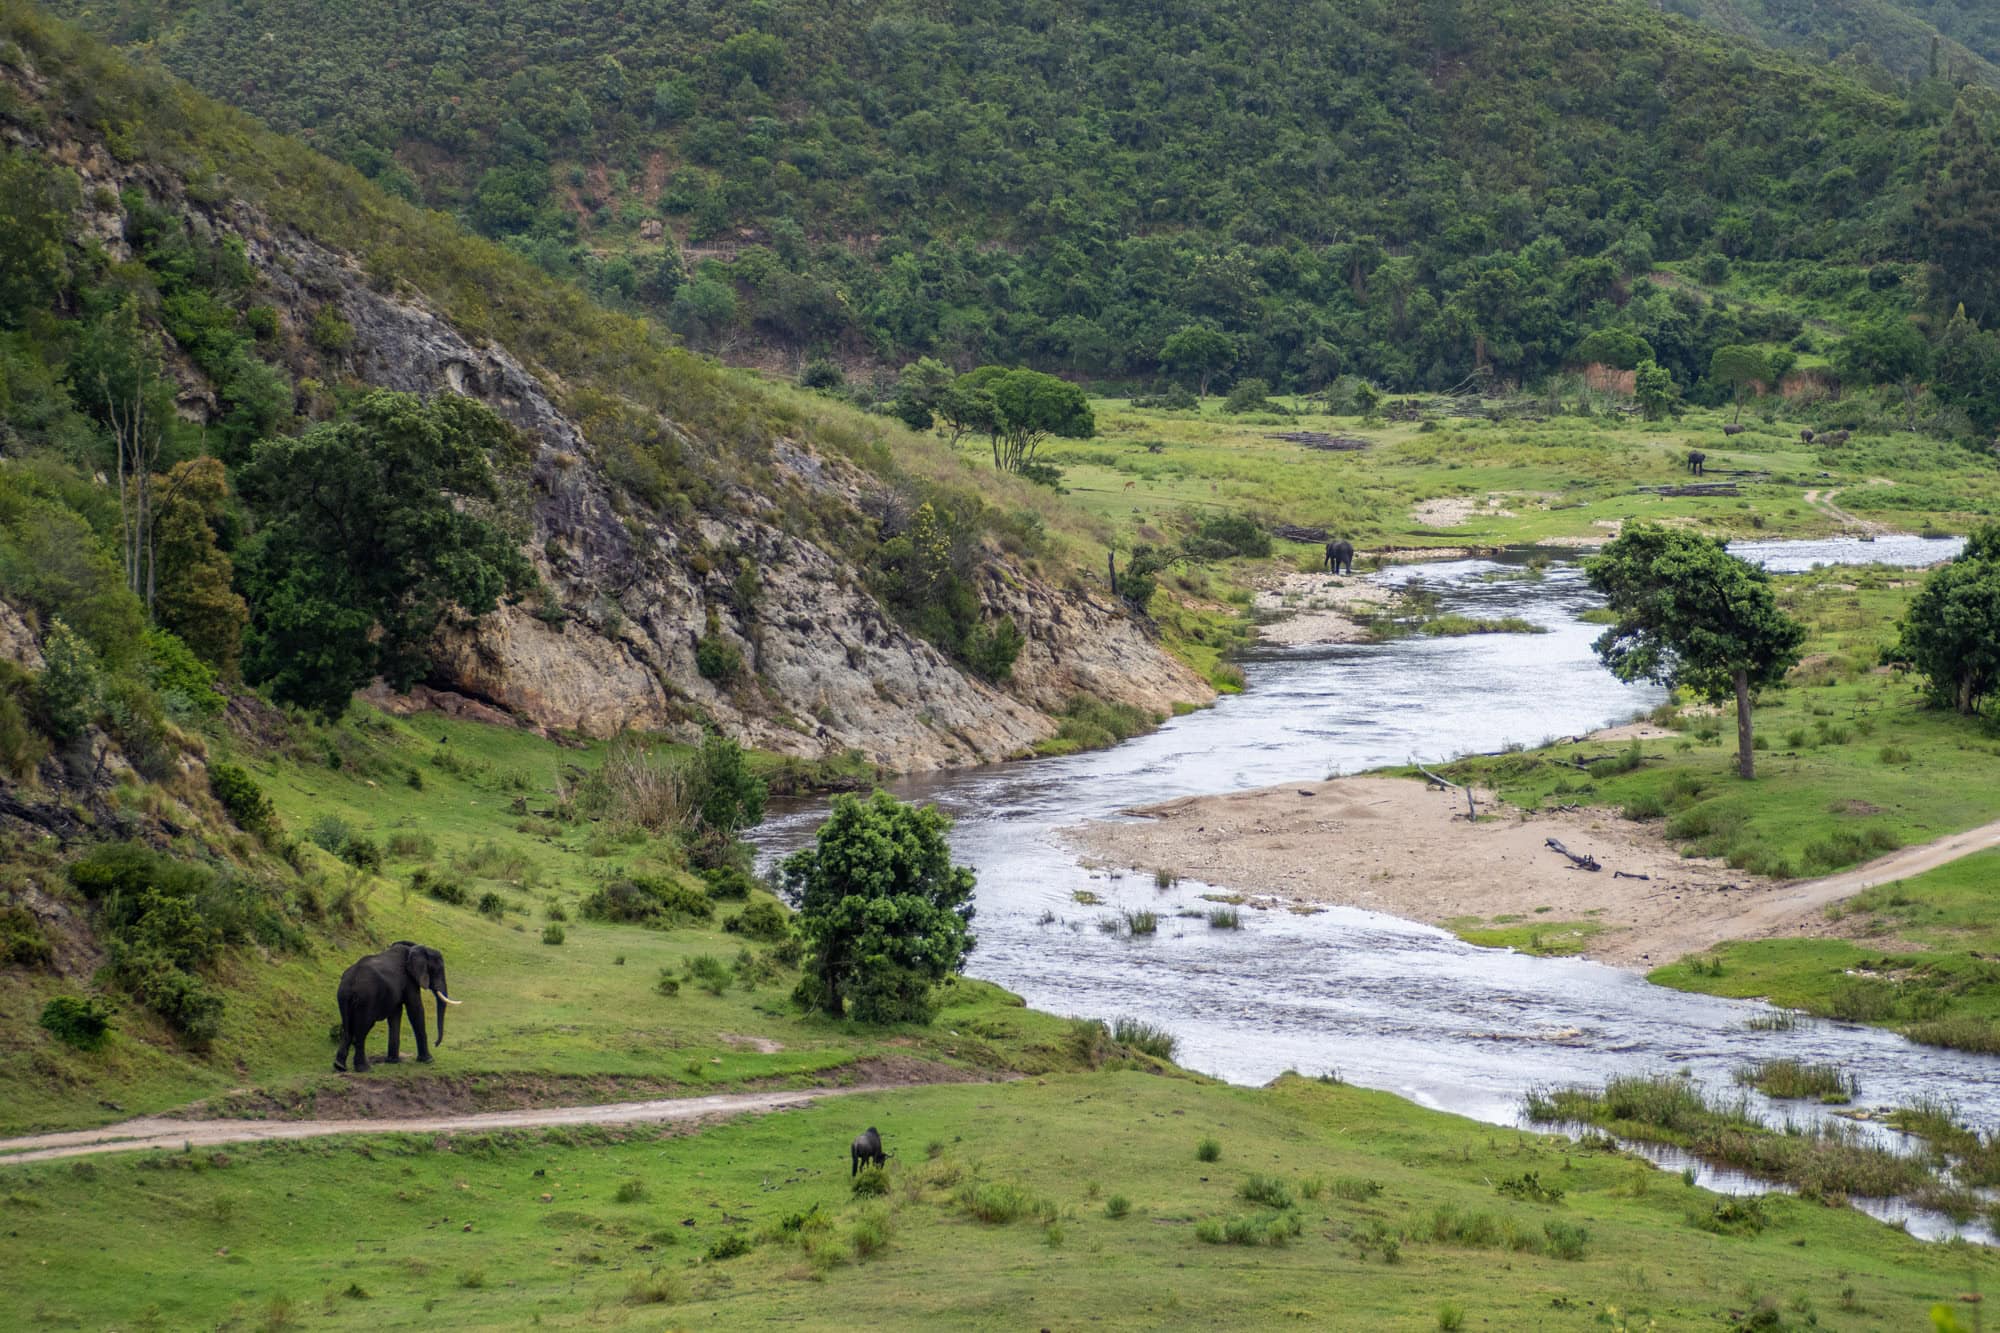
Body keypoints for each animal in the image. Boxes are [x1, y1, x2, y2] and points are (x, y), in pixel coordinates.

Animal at [336, 932, 460, 1072]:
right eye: (437, 970)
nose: (436, 1043)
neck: (414, 948)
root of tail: (351, 981)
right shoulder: (409, 979)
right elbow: (415, 1009)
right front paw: (428, 1060)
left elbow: (396, 1014)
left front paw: (392, 1061)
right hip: (366, 999)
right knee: (362, 1029)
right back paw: (364, 1068)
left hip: (343, 996)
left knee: (348, 1027)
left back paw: (339, 1066)